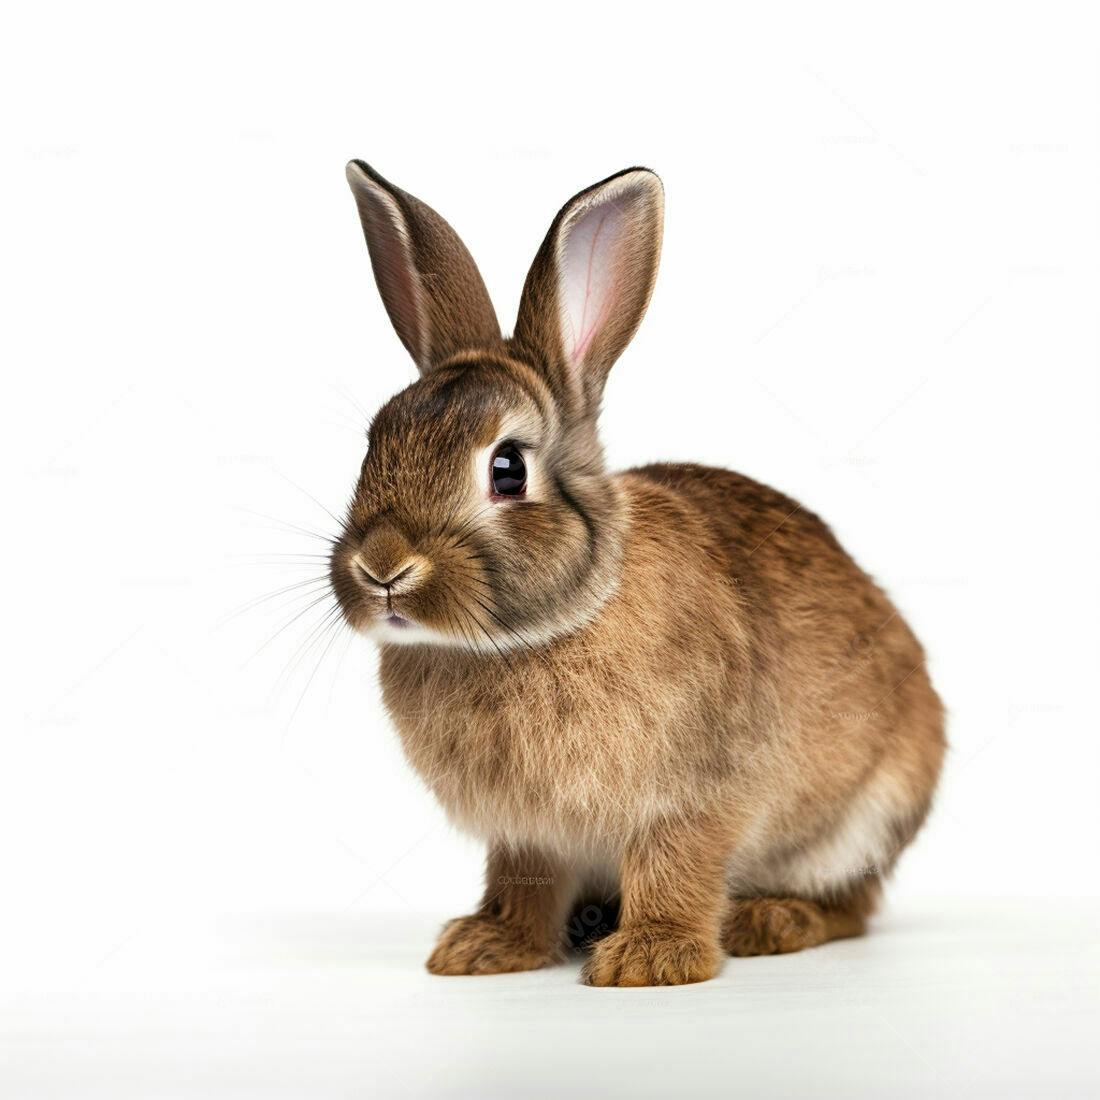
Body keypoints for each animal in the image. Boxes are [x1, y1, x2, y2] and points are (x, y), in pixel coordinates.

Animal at [329, 160, 946, 986]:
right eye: (374, 442)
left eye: (506, 468)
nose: (381, 569)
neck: (547, 629)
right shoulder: (527, 832)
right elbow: (523, 883)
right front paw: (486, 948)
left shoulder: (692, 797)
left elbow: (675, 865)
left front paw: (651, 960)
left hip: (866, 816)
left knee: (854, 903)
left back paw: (769, 921)